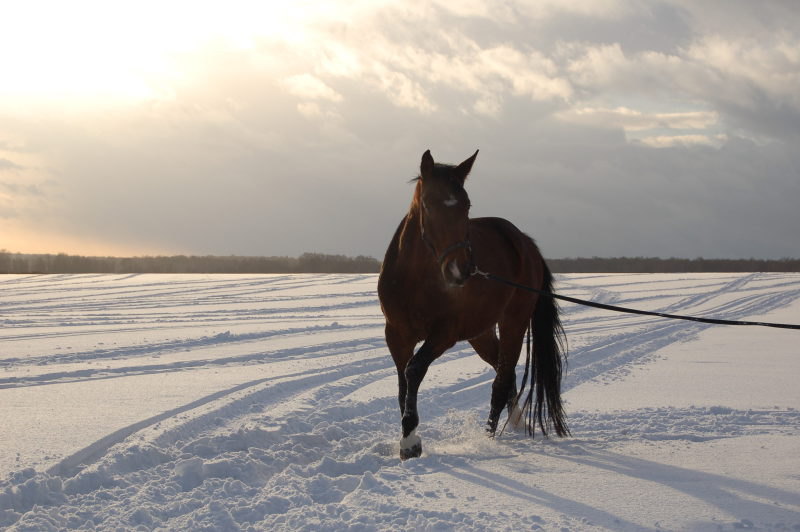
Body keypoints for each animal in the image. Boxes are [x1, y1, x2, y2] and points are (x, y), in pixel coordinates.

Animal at [376, 148, 568, 460]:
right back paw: (515, 422)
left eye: (467, 205)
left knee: (501, 380)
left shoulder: (444, 334)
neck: (415, 280)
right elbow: (403, 385)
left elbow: (414, 371)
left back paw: (489, 437)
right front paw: (407, 439)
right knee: (504, 370)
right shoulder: (396, 335)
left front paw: (411, 443)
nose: (460, 270)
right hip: (481, 333)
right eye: (428, 204)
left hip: (513, 322)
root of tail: (524, 243)